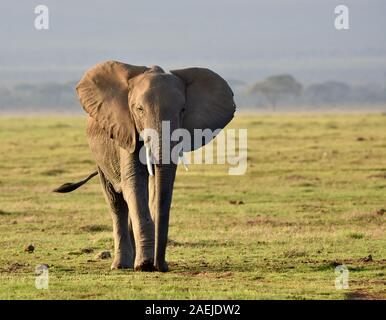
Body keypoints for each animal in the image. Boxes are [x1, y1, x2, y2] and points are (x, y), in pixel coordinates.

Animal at [53, 61, 235, 272]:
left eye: (183, 110)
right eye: (139, 110)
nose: (161, 266)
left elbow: (158, 185)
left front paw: (150, 263)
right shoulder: (125, 130)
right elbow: (134, 182)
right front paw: (145, 265)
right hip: (100, 156)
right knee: (116, 201)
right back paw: (121, 265)